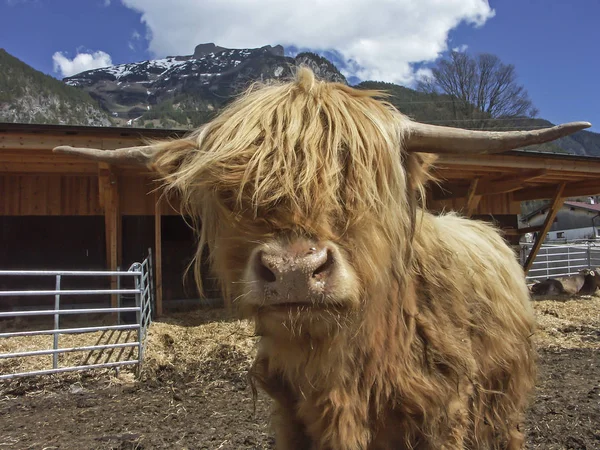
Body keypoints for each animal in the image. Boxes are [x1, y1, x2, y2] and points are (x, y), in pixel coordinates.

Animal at [54, 67, 592, 450]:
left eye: (359, 181)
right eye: (231, 193)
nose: (294, 271)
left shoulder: (444, 413)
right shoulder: (292, 417)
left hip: (505, 392)